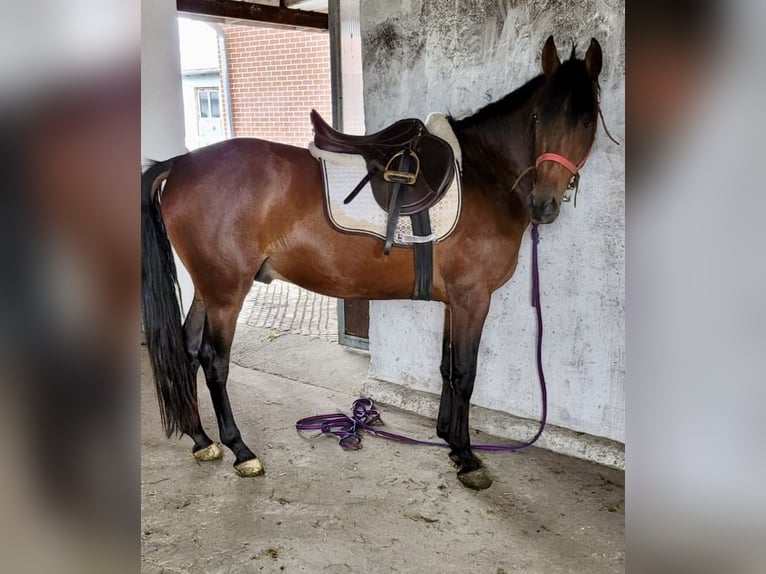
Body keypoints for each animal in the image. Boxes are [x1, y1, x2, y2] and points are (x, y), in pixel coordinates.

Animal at [140, 38, 608, 492]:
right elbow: (465, 373)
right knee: (214, 361)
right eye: (537, 118)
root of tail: (179, 164)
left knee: (187, 349)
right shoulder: (472, 299)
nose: (544, 204)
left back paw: (201, 439)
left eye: (587, 120)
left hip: (209, 288)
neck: (483, 175)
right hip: (227, 293)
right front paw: (468, 457)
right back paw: (240, 450)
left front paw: (448, 440)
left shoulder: (454, 302)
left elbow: (445, 368)